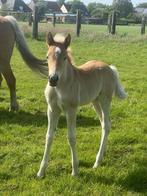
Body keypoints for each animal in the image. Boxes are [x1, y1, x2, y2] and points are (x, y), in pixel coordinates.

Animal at [36, 32, 126, 178]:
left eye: (65, 57)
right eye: (47, 56)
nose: (53, 79)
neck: (60, 87)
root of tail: (109, 68)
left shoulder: (71, 110)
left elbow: (71, 137)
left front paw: (75, 171)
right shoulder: (52, 109)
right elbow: (49, 136)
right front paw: (40, 172)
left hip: (105, 100)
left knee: (106, 125)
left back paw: (97, 162)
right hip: (95, 101)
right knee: (104, 123)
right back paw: (101, 156)